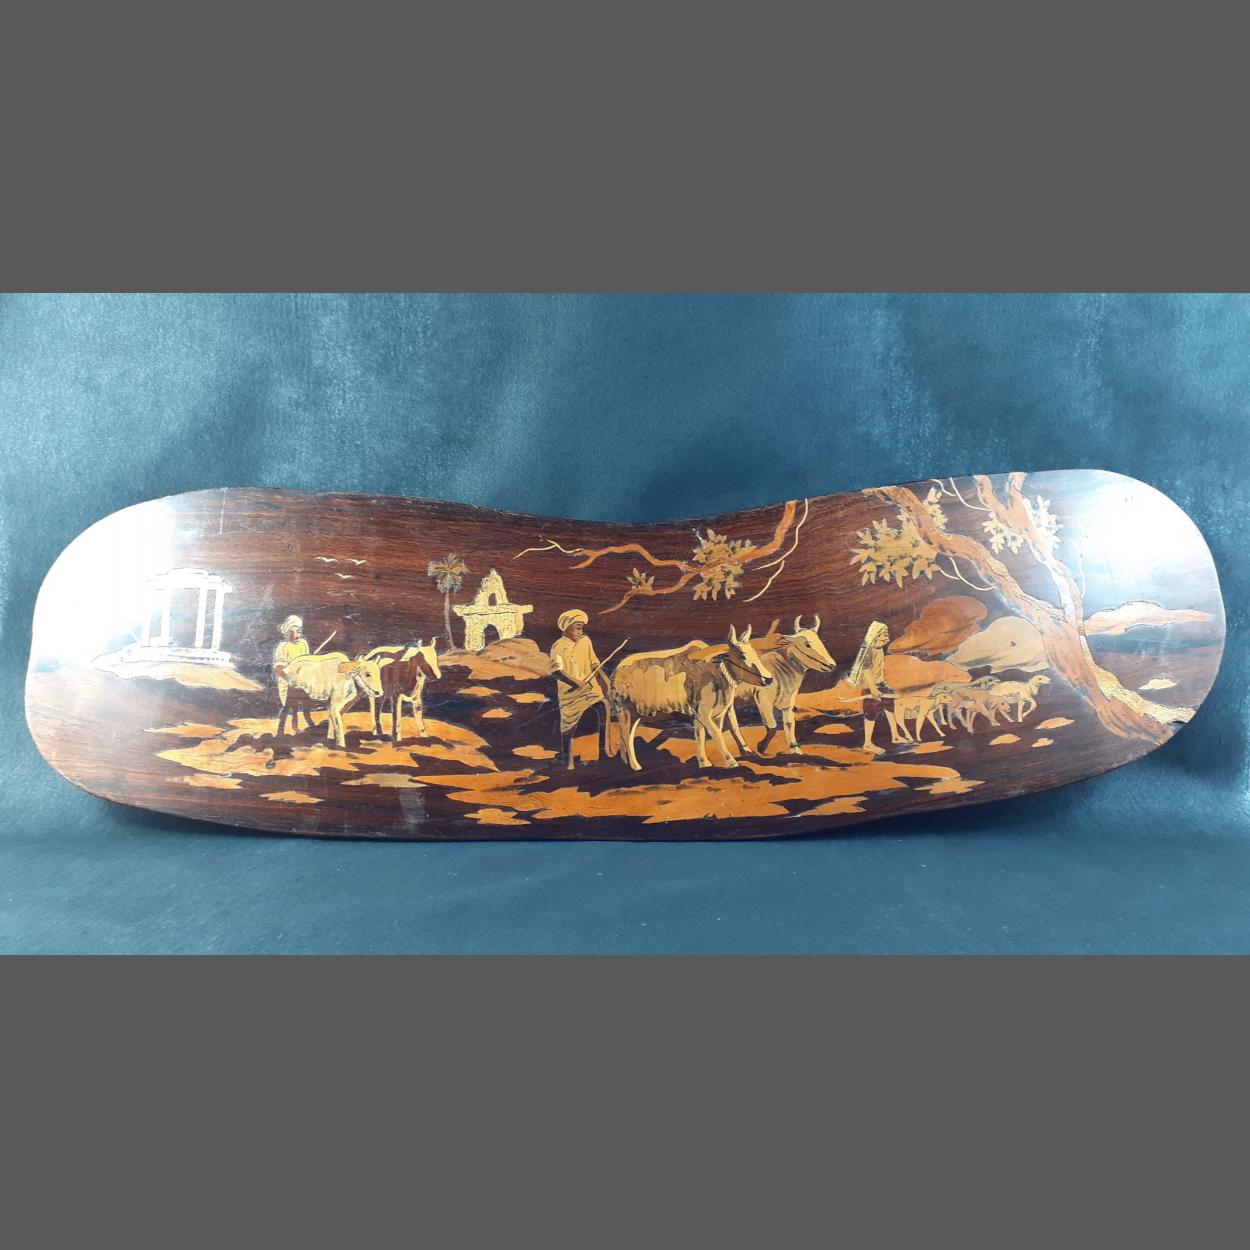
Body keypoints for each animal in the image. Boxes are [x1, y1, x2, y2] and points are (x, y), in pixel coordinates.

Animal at [611, 624, 772, 771]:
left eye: (754, 653)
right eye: (742, 656)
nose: (768, 678)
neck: (718, 671)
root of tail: (616, 671)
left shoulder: (713, 713)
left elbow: (701, 735)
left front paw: (704, 762)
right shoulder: (703, 713)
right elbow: (716, 734)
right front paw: (731, 763)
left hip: (634, 713)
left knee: (624, 737)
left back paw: (625, 762)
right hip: (624, 710)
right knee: (626, 737)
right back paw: (636, 766)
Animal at [736, 616, 837, 754]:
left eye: (819, 641)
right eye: (807, 644)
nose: (832, 665)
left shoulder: (789, 702)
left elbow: (789, 723)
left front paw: (795, 749)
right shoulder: (762, 698)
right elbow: (772, 726)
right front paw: (761, 747)